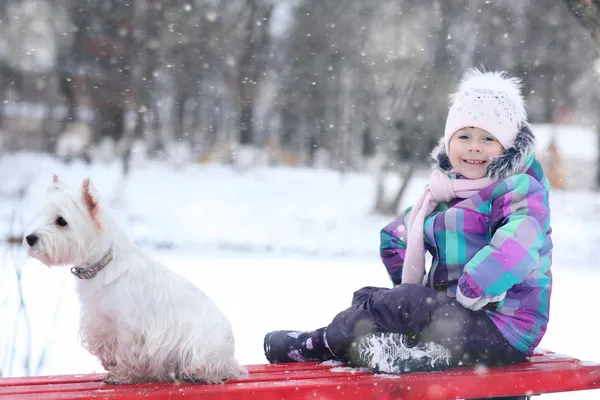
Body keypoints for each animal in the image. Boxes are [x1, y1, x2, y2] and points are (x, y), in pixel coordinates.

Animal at [24, 176, 246, 384]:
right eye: (42, 215)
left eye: (61, 221)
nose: (29, 238)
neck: (100, 265)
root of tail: (230, 353)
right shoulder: (98, 319)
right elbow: (103, 346)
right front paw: (110, 363)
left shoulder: (128, 325)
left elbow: (125, 351)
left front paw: (120, 375)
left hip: (201, 347)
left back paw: (196, 373)